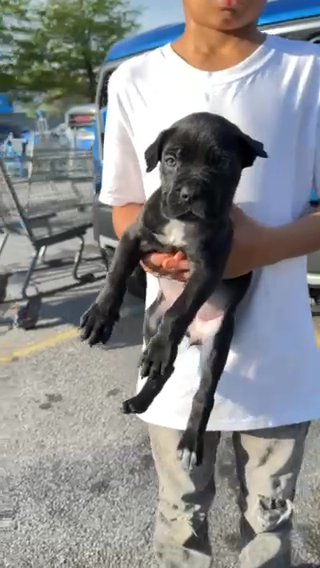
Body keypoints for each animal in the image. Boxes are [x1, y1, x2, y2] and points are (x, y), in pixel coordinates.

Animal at [80, 112, 268, 470]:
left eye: (222, 163)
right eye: (170, 160)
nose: (189, 193)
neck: (184, 225)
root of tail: (193, 335)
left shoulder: (208, 268)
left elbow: (180, 307)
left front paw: (160, 345)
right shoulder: (134, 236)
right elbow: (116, 274)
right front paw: (100, 316)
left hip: (217, 344)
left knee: (203, 393)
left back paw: (190, 442)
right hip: (150, 319)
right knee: (165, 369)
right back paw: (141, 400)